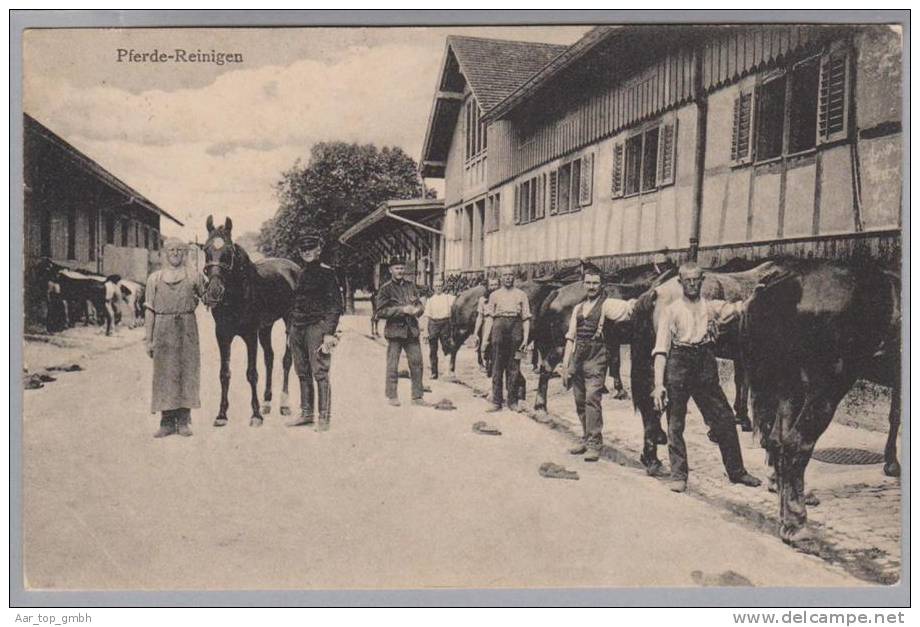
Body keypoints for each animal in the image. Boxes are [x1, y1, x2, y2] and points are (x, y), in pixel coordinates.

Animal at [201, 216, 302, 426]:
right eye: (206, 250)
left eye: (228, 252)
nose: (214, 292)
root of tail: (294, 268)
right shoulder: (222, 335)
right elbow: (224, 373)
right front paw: (221, 414)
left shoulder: (250, 335)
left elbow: (251, 373)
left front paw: (255, 415)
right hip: (266, 327)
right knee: (269, 358)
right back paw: (267, 401)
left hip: (289, 321)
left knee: (286, 360)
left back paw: (283, 404)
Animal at [736, 260, 904, 544]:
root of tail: (785, 280)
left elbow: (895, 416)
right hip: (827, 389)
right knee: (796, 444)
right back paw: (796, 522)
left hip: (789, 385)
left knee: (778, 441)